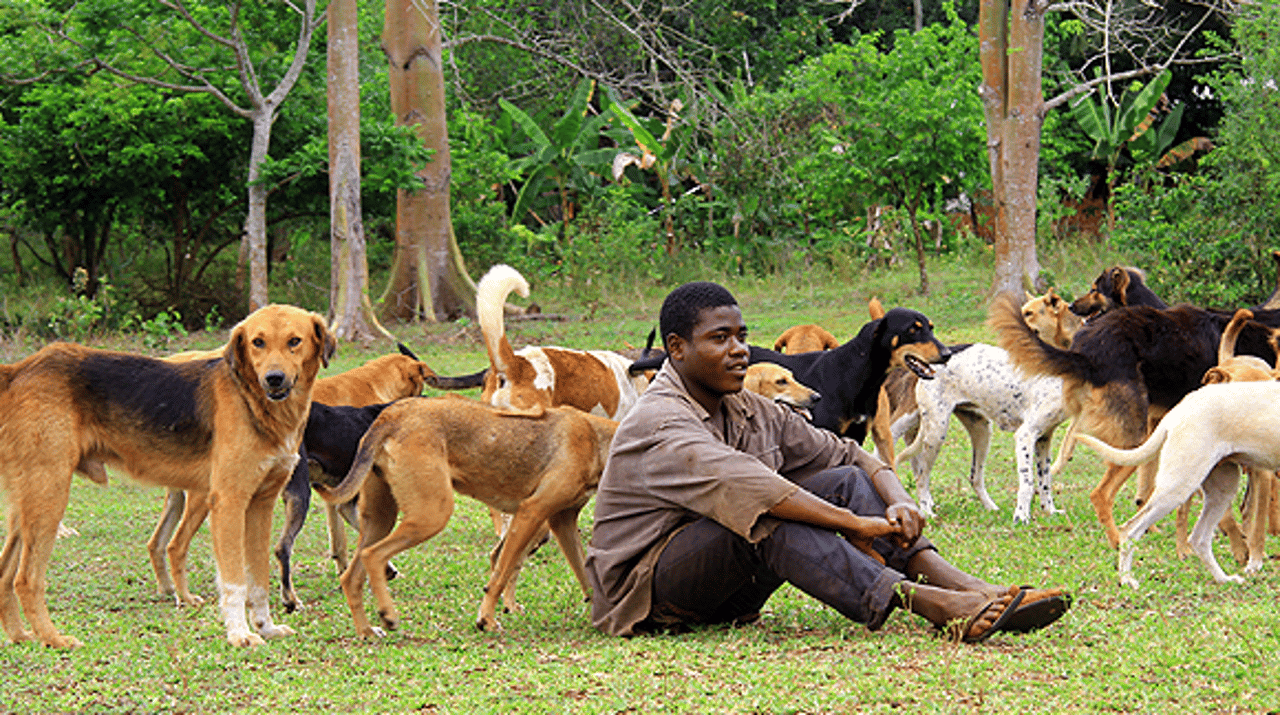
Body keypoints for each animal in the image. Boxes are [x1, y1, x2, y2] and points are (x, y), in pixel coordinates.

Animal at [0, 303, 335, 649]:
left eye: (294, 341)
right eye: (258, 342)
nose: (273, 379)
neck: (252, 400)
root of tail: (19, 370)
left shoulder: (260, 506)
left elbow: (258, 579)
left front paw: (265, 627)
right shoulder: (229, 503)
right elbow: (234, 582)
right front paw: (240, 634)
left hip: (26, 508)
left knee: (5, 575)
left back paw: (20, 635)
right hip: (49, 500)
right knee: (26, 579)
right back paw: (53, 638)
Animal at [312, 396, 616, 636]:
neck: (597, 439)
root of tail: (392, 414)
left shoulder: (562, 522)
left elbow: (585, 576)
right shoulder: (531, 512)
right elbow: (501, 574)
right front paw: (486, 620)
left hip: (381, 520)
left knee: (351, 576)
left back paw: (366, 631)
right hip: (432, 514)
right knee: (373, 555)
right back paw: (388, 614)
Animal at [890, 345, 1070, 524]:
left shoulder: (1043, 439)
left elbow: (1045, 481)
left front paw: (1050, 511)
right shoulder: (1025, 436)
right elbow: (1028, 484)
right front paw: (1021, 517)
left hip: (981, 431)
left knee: (974, 478)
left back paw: (991, 508)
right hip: (935, 432)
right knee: (921, 477)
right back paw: (927, 512)